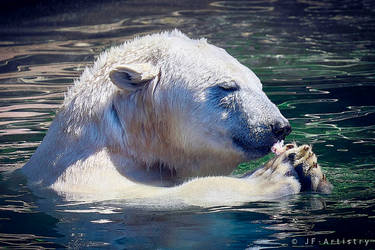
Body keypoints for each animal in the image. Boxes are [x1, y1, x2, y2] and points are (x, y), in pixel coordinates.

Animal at [22, 30, 332, 206]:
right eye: (227, 87)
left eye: (258, 84)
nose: (279, 126)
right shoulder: (88, 178)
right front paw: (274, 175)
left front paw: (310, 166)